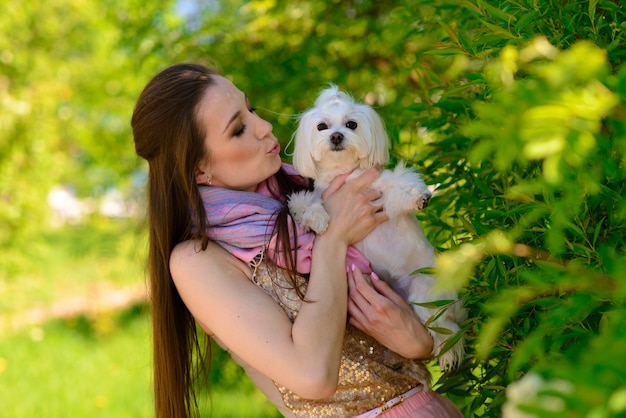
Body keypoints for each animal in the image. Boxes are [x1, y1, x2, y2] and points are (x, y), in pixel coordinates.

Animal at [288, 84, 464, 370]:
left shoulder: (381, 185)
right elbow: (303, 204)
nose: (336, 136)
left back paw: (448, 350)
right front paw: (320, 220)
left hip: (426, 291)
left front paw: (419, 197)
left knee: (444, 327)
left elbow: (399, 184)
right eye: (322, 127)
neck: (343, 175)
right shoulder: (315, 196)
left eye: (351, 124)